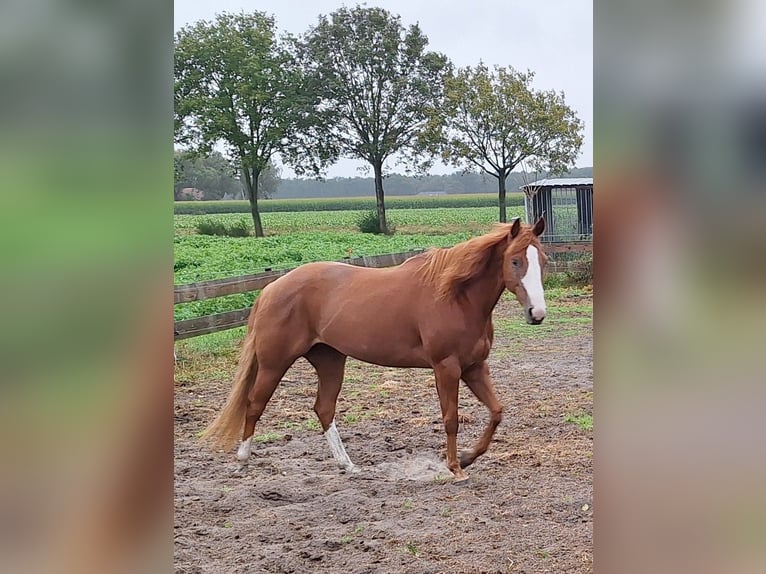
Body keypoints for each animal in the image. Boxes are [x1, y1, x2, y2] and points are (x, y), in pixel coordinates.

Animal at [206, 218, 544, 484]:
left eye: (541, 259)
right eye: (515, 261)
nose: (537, 313)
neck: (456, 295)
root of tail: (270, 289)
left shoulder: (474, 367)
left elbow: (497, 412)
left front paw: (467, 457)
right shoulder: (446, 367)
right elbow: (450, 418)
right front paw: (455, 468)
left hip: (330, 360)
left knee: (323, 409)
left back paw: (348, 465)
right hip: (274, 363)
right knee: (254, 405)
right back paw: (242, 461)